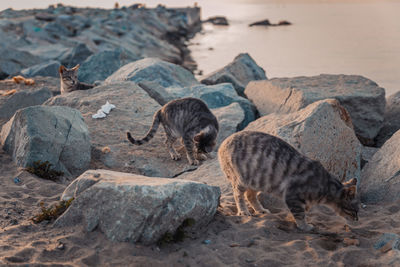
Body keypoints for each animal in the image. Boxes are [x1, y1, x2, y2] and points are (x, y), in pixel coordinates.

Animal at [219, 131, 360, 231]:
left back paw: (260, 210)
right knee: (238, 195)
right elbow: (300, 214)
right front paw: (305, 226)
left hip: (256, 181)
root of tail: (222, 144)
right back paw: (243, 211)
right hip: (241, 180)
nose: (357, 220)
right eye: (355, 211)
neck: (325, 186)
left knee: (250, 196)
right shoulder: (292, 195)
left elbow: (302, 211)